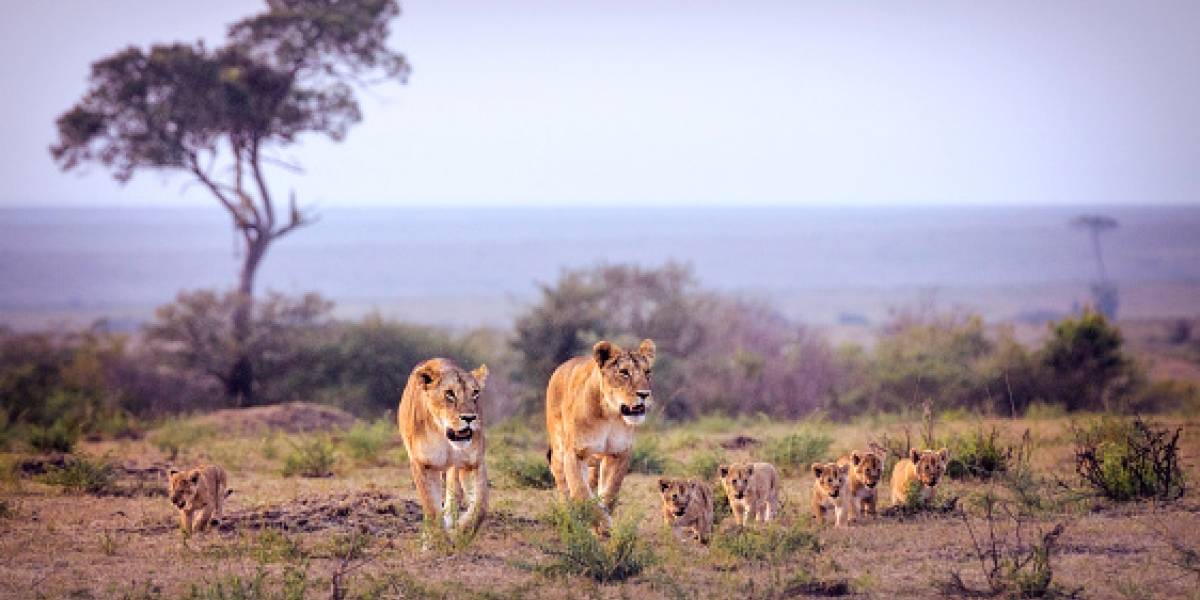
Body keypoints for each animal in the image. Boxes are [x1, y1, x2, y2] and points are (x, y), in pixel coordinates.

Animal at [396, 357, 484, 542]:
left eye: (475, 393)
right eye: (449, 393)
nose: (469, 418)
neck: (444, 435)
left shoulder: (473, 463)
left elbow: (480, 506)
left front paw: (461, 532)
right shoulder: (423, 465)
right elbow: (432, 509)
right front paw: (438, 542)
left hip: (454, 468)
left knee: (453, 494)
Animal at [547, 340, 657, 523]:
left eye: (647, 372)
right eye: (624, 372)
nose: (645, 394)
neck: (610, 415)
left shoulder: (619, 452)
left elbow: (610, 493)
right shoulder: (575, 452)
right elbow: (581, 493)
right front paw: (602, 524)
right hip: (559, 443)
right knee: (559, 474)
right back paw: (567, 512)